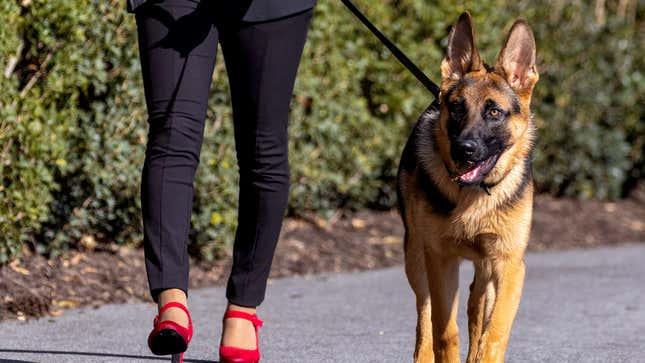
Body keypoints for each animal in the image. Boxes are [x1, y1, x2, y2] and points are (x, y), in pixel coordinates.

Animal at [398, 12, 540, 363]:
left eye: (494, 112)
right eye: (457, 108)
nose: (464, 150)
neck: (474, 196)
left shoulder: (509, 265)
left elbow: (494, 332)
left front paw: (484, 353)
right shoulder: (440, 260)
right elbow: (444, 330)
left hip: (486, 267)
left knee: (477, 304)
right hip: (416, 256)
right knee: (425, 312)